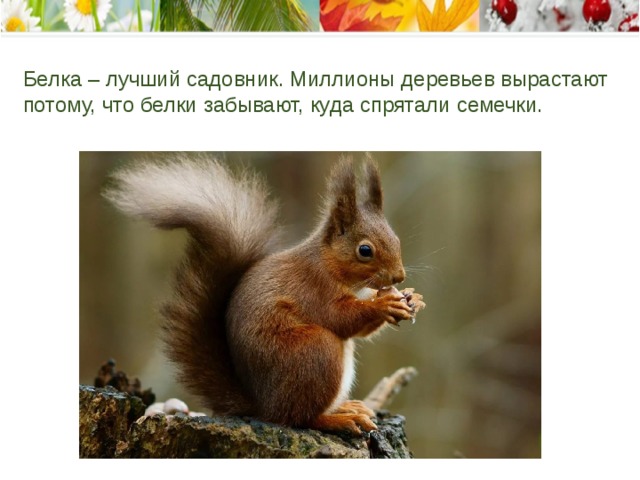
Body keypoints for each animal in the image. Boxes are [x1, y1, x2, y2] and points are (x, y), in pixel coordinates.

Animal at [105, 154, 425, 435]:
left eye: (396, 239)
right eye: (365, 250)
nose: (398, 277)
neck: (330, 265)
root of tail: (263, 406)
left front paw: (413, 298)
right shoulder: (313, 288)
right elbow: (340, 318)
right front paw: (384, 303)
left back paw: (347, 407)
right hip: (314, 351)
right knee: (299, 417)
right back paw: (338, 419)